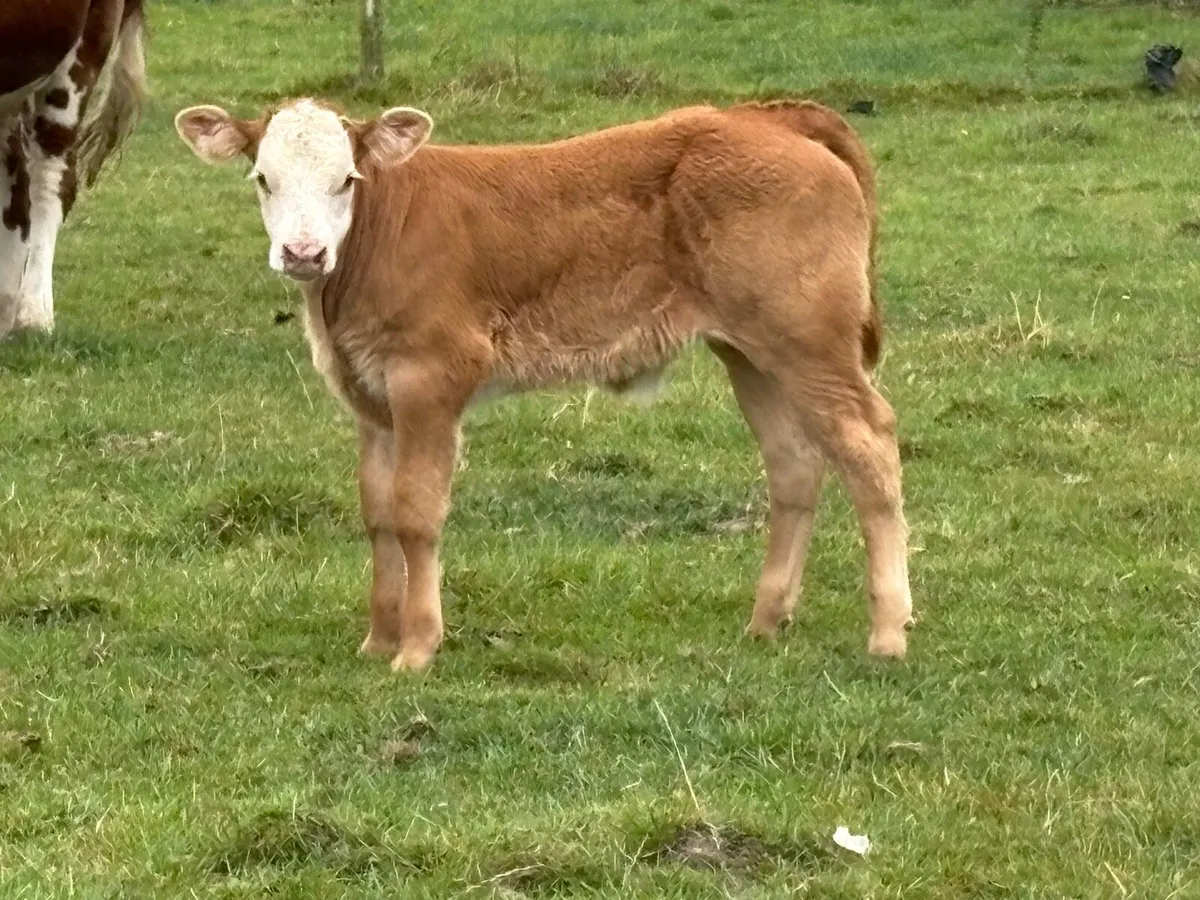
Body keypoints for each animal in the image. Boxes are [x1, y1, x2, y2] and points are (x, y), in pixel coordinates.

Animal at [174, 96, 915, 672]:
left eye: (347, 179)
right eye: (263, 178)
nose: (303, 253)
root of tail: (764, 114)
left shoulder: (430, 378)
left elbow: (416, 511)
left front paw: (417, 647)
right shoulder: (372, 396)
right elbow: (378, 512)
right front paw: (378, 638)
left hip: (810, 343)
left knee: (869, 445)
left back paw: (888, 631)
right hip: (751, 350)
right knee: (794, 463)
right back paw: (767, 619)